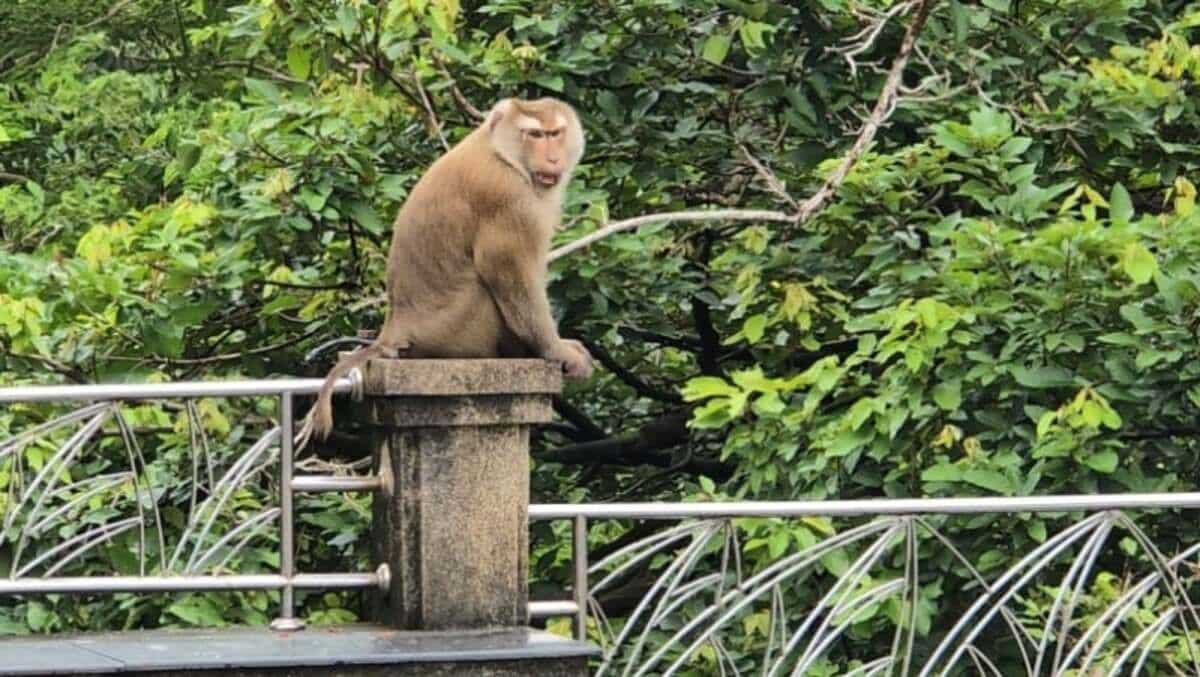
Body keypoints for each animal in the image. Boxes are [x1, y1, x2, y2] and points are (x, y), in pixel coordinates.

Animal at [310, 97, 594, 439]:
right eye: (535, 135)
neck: (502, 153)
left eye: (555, 133)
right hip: (458, 333)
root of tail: (393, 331)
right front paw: (555, 350)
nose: (552, 158)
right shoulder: (509, 198)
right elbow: (508, 272)